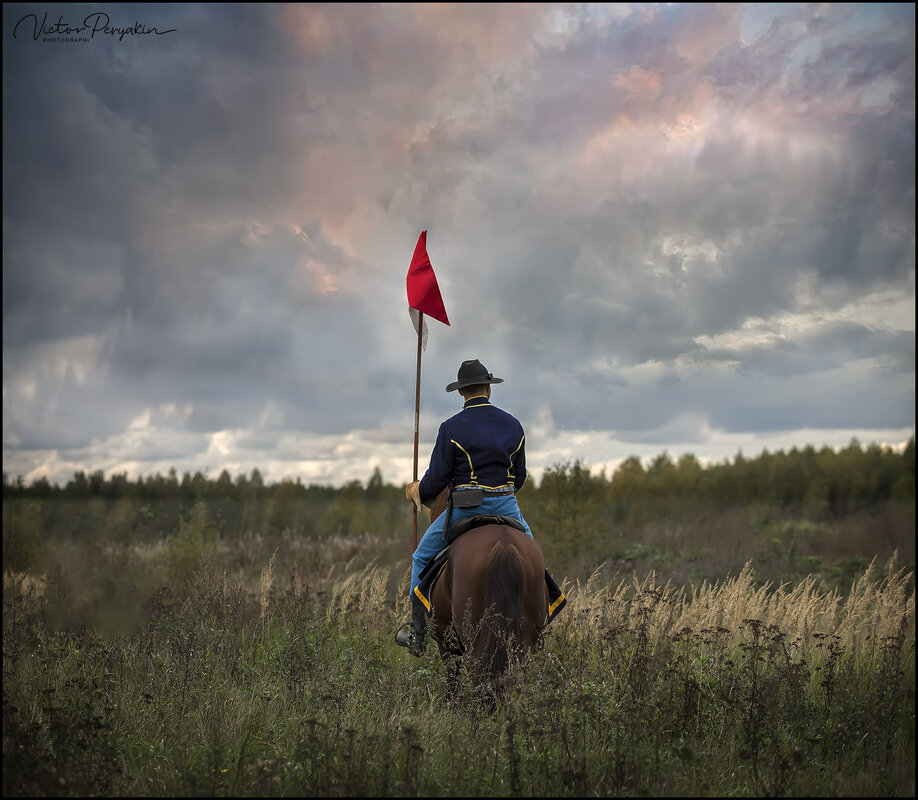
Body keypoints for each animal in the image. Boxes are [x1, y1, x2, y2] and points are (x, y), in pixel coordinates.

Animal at [424, 488, 548, 708]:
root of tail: (503, 547)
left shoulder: (445, 638)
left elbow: (452, 678)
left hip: (473, 642)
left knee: (478, 680)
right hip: (524, 642)